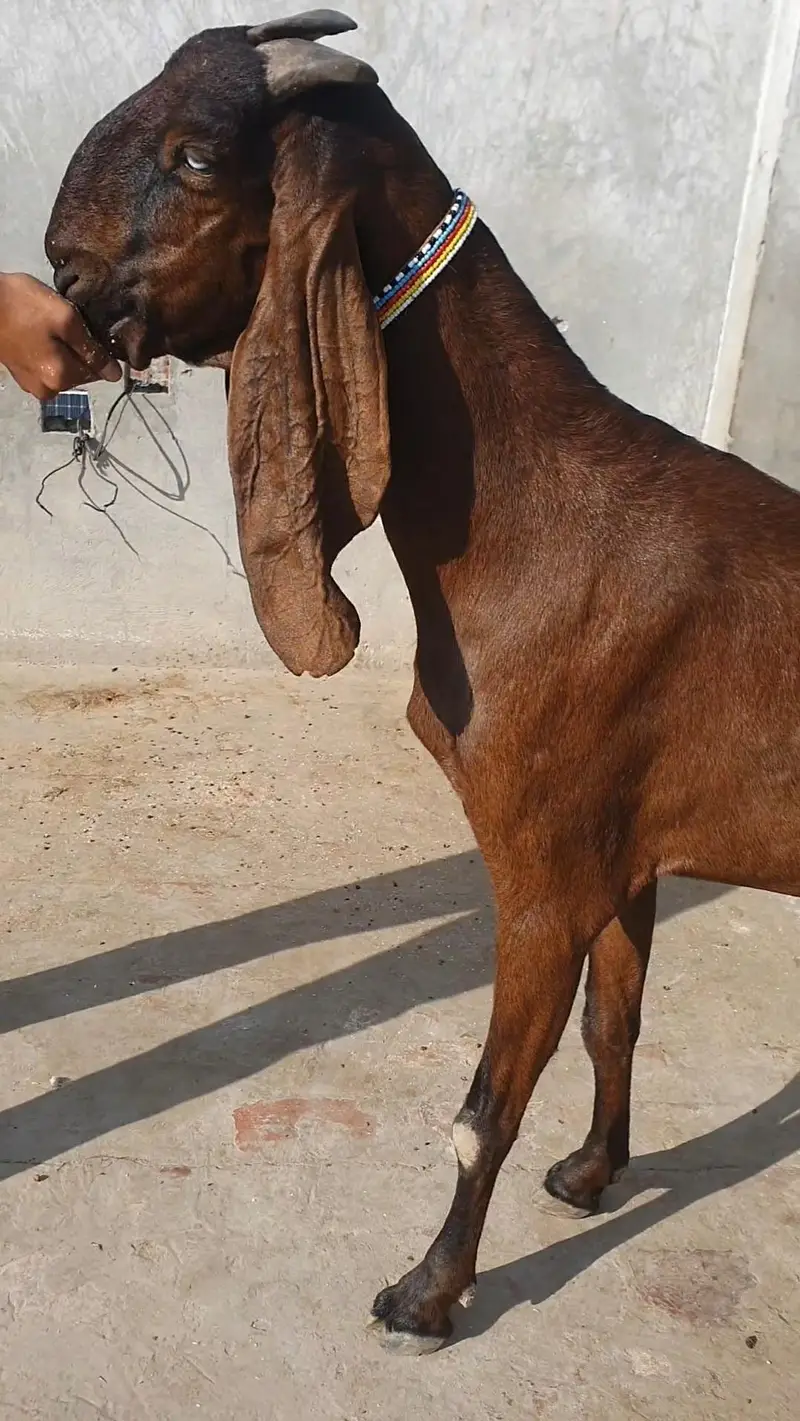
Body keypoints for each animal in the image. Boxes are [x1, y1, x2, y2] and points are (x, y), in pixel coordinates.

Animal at [46, 11, 800, 1354]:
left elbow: (480, 1105)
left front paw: (427, 1291)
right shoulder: (625, 853)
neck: (530, 518)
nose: (58, 276)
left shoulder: (541, 867)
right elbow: (614, 1020)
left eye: (196, 156)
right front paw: (593, 1172)